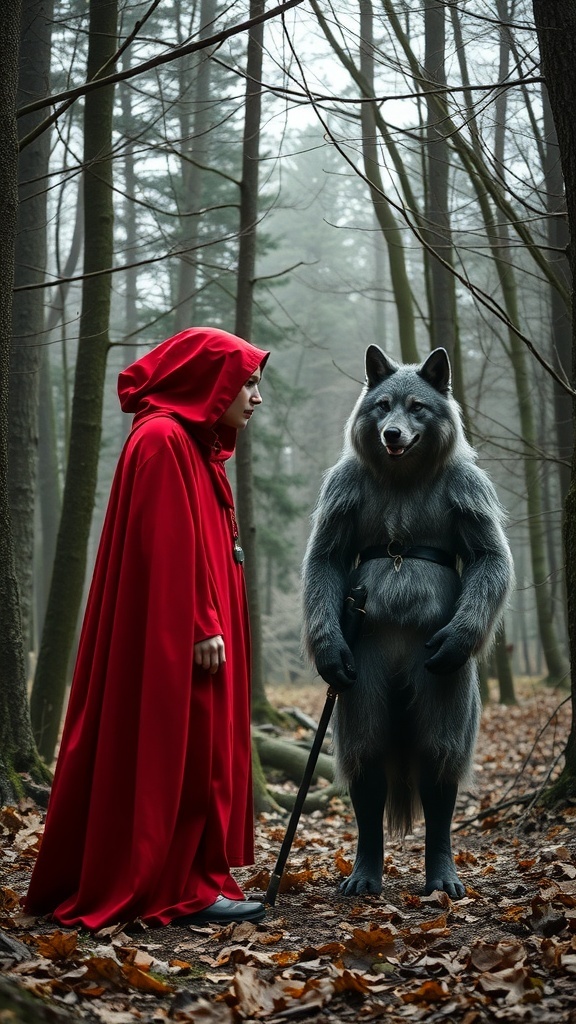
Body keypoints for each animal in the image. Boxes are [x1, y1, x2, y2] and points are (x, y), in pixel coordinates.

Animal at [302, 346, 514, 899]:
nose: (391, 434)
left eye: (418, 406)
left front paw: (459, 638)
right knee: (368, 758)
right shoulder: (341, 491)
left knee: (439, 764)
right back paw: (366, 871)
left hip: (441, 692)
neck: (402, 478)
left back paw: (440, 872)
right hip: (367, 686)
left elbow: (489, 557)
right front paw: (328, 652)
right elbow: (326, 559)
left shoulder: (470, 490)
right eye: (383, 406)